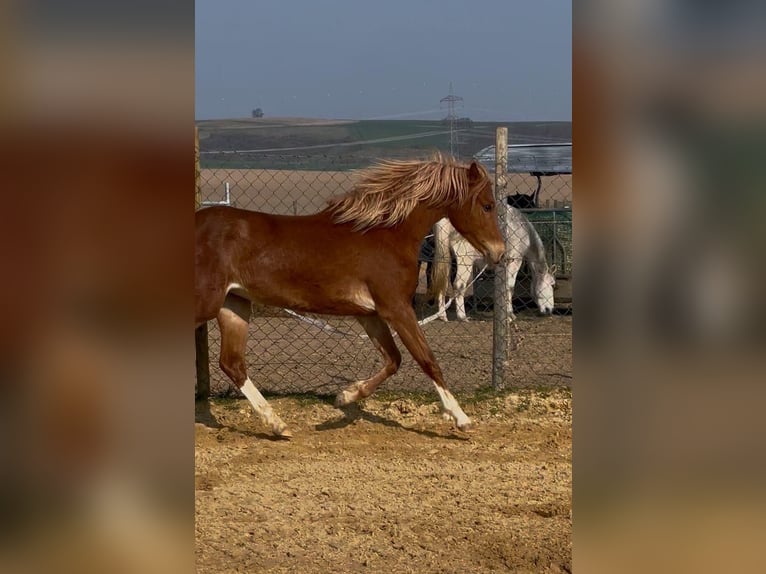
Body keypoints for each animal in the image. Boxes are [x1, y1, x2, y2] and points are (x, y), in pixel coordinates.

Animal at [195, 155, 506, 438]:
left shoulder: (369, 314)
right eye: (487, 205)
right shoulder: (396, 308)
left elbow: (394, 359)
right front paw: (461, 418)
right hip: (207, 303)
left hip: (234, 305)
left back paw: (278, 425)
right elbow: (427, 359)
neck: (386, 234)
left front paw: (345, 395)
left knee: (232, 364)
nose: (499, 252)